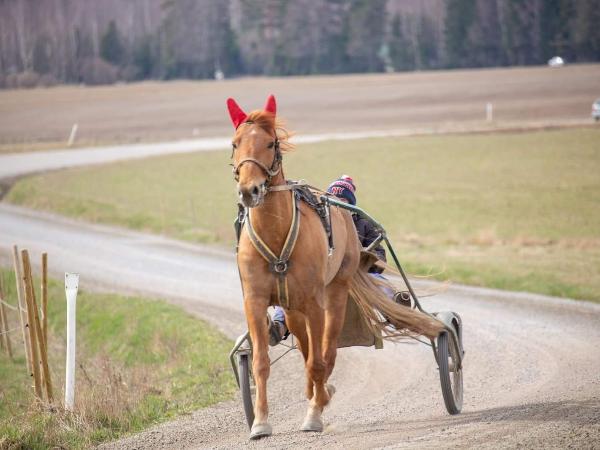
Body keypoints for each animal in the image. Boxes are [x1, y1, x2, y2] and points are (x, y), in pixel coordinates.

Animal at [227, 94, 444, 439]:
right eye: (235, 143)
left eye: (271, 143)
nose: (250, 190)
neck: (276, 236)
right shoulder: (255, 300)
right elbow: (262, 361)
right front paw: (260, 422)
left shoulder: (314, 302)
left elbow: (319, 361)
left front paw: (314, 415)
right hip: (292, 306)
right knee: (306, 348)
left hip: (335, 292)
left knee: (325, 353)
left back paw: (321, 395)